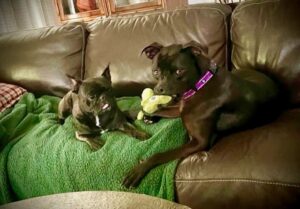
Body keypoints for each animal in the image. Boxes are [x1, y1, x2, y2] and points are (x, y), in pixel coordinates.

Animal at [123, 42, 280, 188]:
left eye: (179, 71)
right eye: (155, 71)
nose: (158, 90)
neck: (200, 84)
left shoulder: (199, 142)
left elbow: (159, 155)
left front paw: (139, 169)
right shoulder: (180, 109)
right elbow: (154, 108)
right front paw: (125, 113)